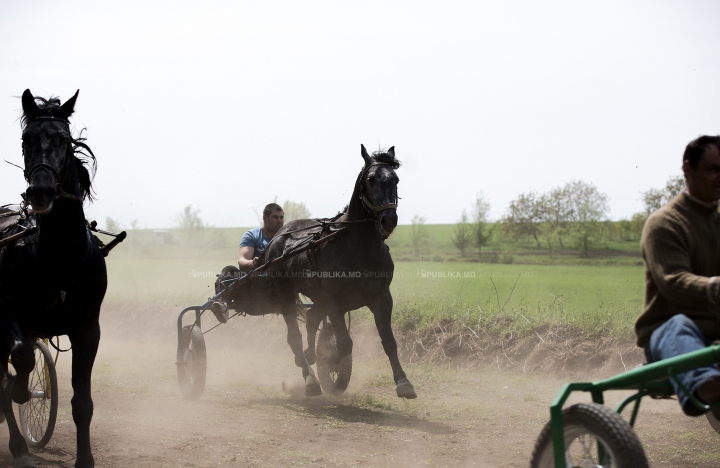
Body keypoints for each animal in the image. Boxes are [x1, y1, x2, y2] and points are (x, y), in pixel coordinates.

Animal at [0, 89, 107, 466]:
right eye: (25, 139)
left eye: (63, 140)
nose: (41, 192)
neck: (59, 257)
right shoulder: (10, 315)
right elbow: (22, 358)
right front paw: (19, 390)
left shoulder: (87, 329)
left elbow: (82, 403)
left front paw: (85, 459)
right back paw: (19, 447)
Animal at [266, 145, 416, 398]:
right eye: (371, 179)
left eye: (395, 179)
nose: (388, 220)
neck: (359, 247)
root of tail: (278, 236)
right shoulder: (334, 301)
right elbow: (345, 343)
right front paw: (330, 356)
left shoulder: (382, 298)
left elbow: (389, 341)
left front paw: (403, 382)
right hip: (285, 294)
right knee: (295, 337)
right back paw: (310, 379)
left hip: (317, 297)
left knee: (312, 318)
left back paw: (310, 356)